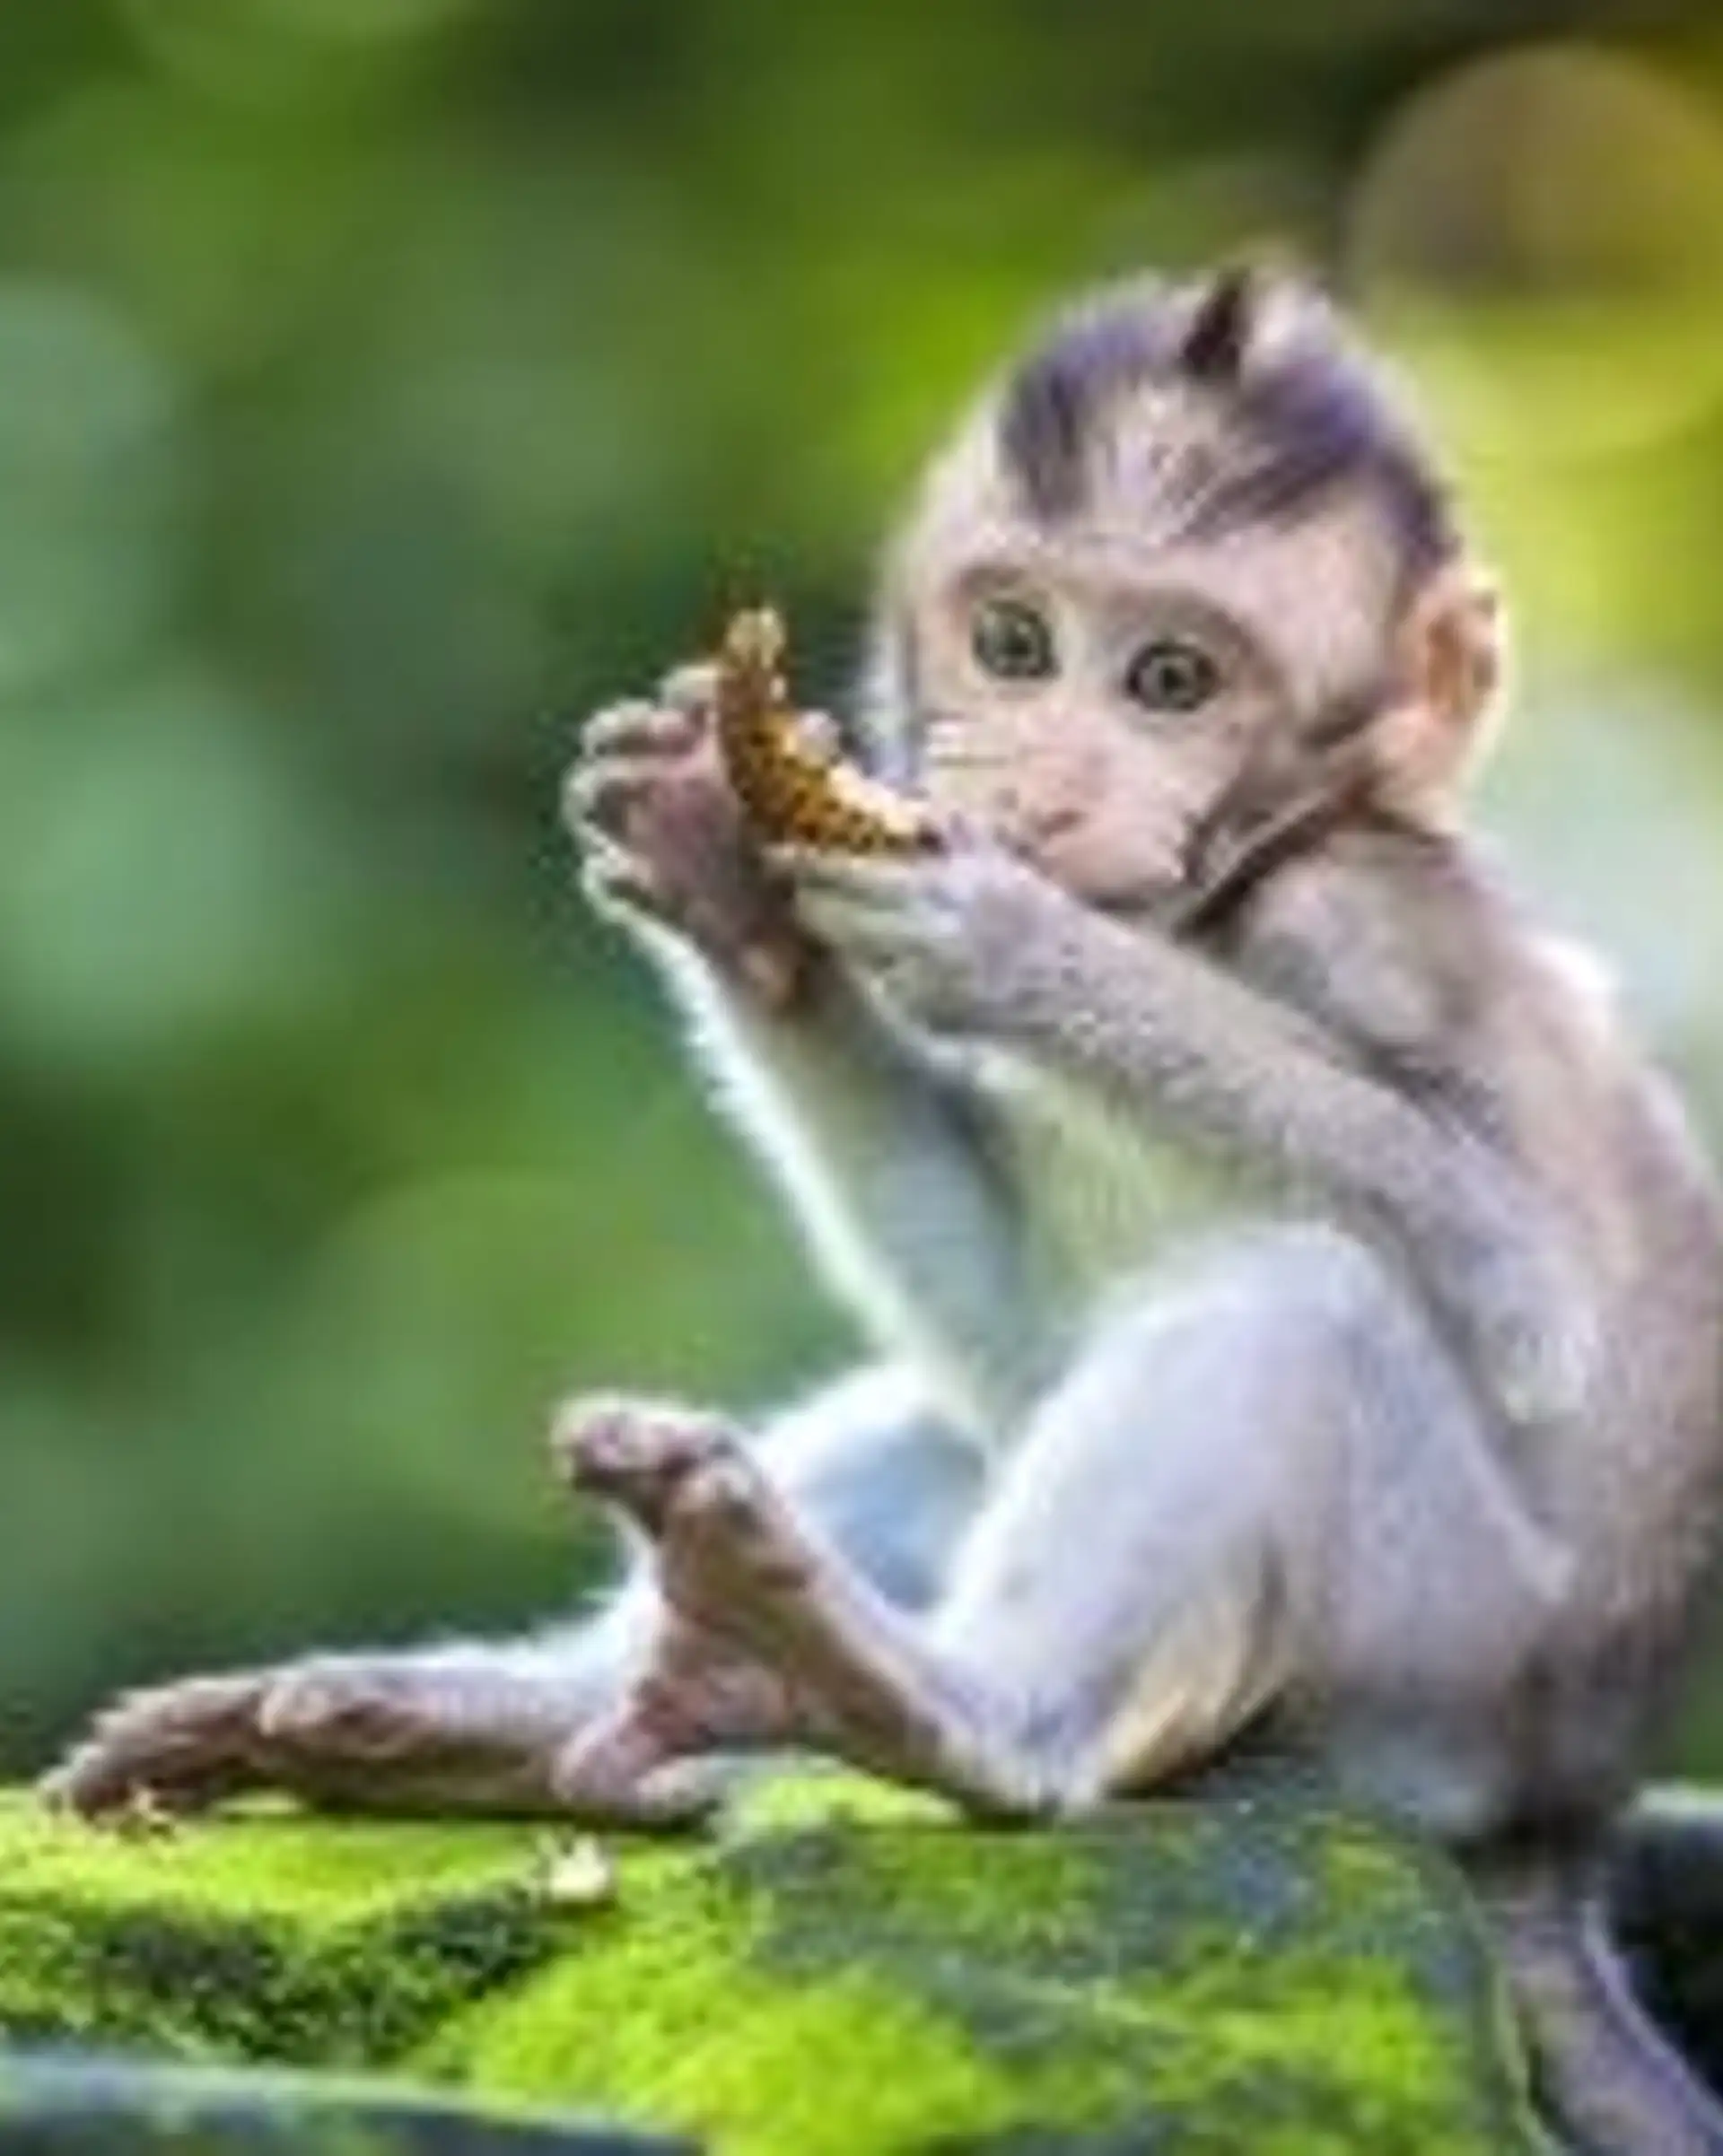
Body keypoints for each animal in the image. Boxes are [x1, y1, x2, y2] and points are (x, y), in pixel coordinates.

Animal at [42, 265, 1723, 2153]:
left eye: (1171, 678)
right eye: (1016, 643)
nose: (1037, 787)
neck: (1220, 911)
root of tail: (1549, 1838)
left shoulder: (1365, 928)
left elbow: (1528, 1289)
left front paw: (1008, 943)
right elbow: (1010, 1335)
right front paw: (726, 874)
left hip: (1419, 1670)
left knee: (1298, 1309)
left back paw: (947, 1706)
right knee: (947, 1423)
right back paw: (508, 1722)